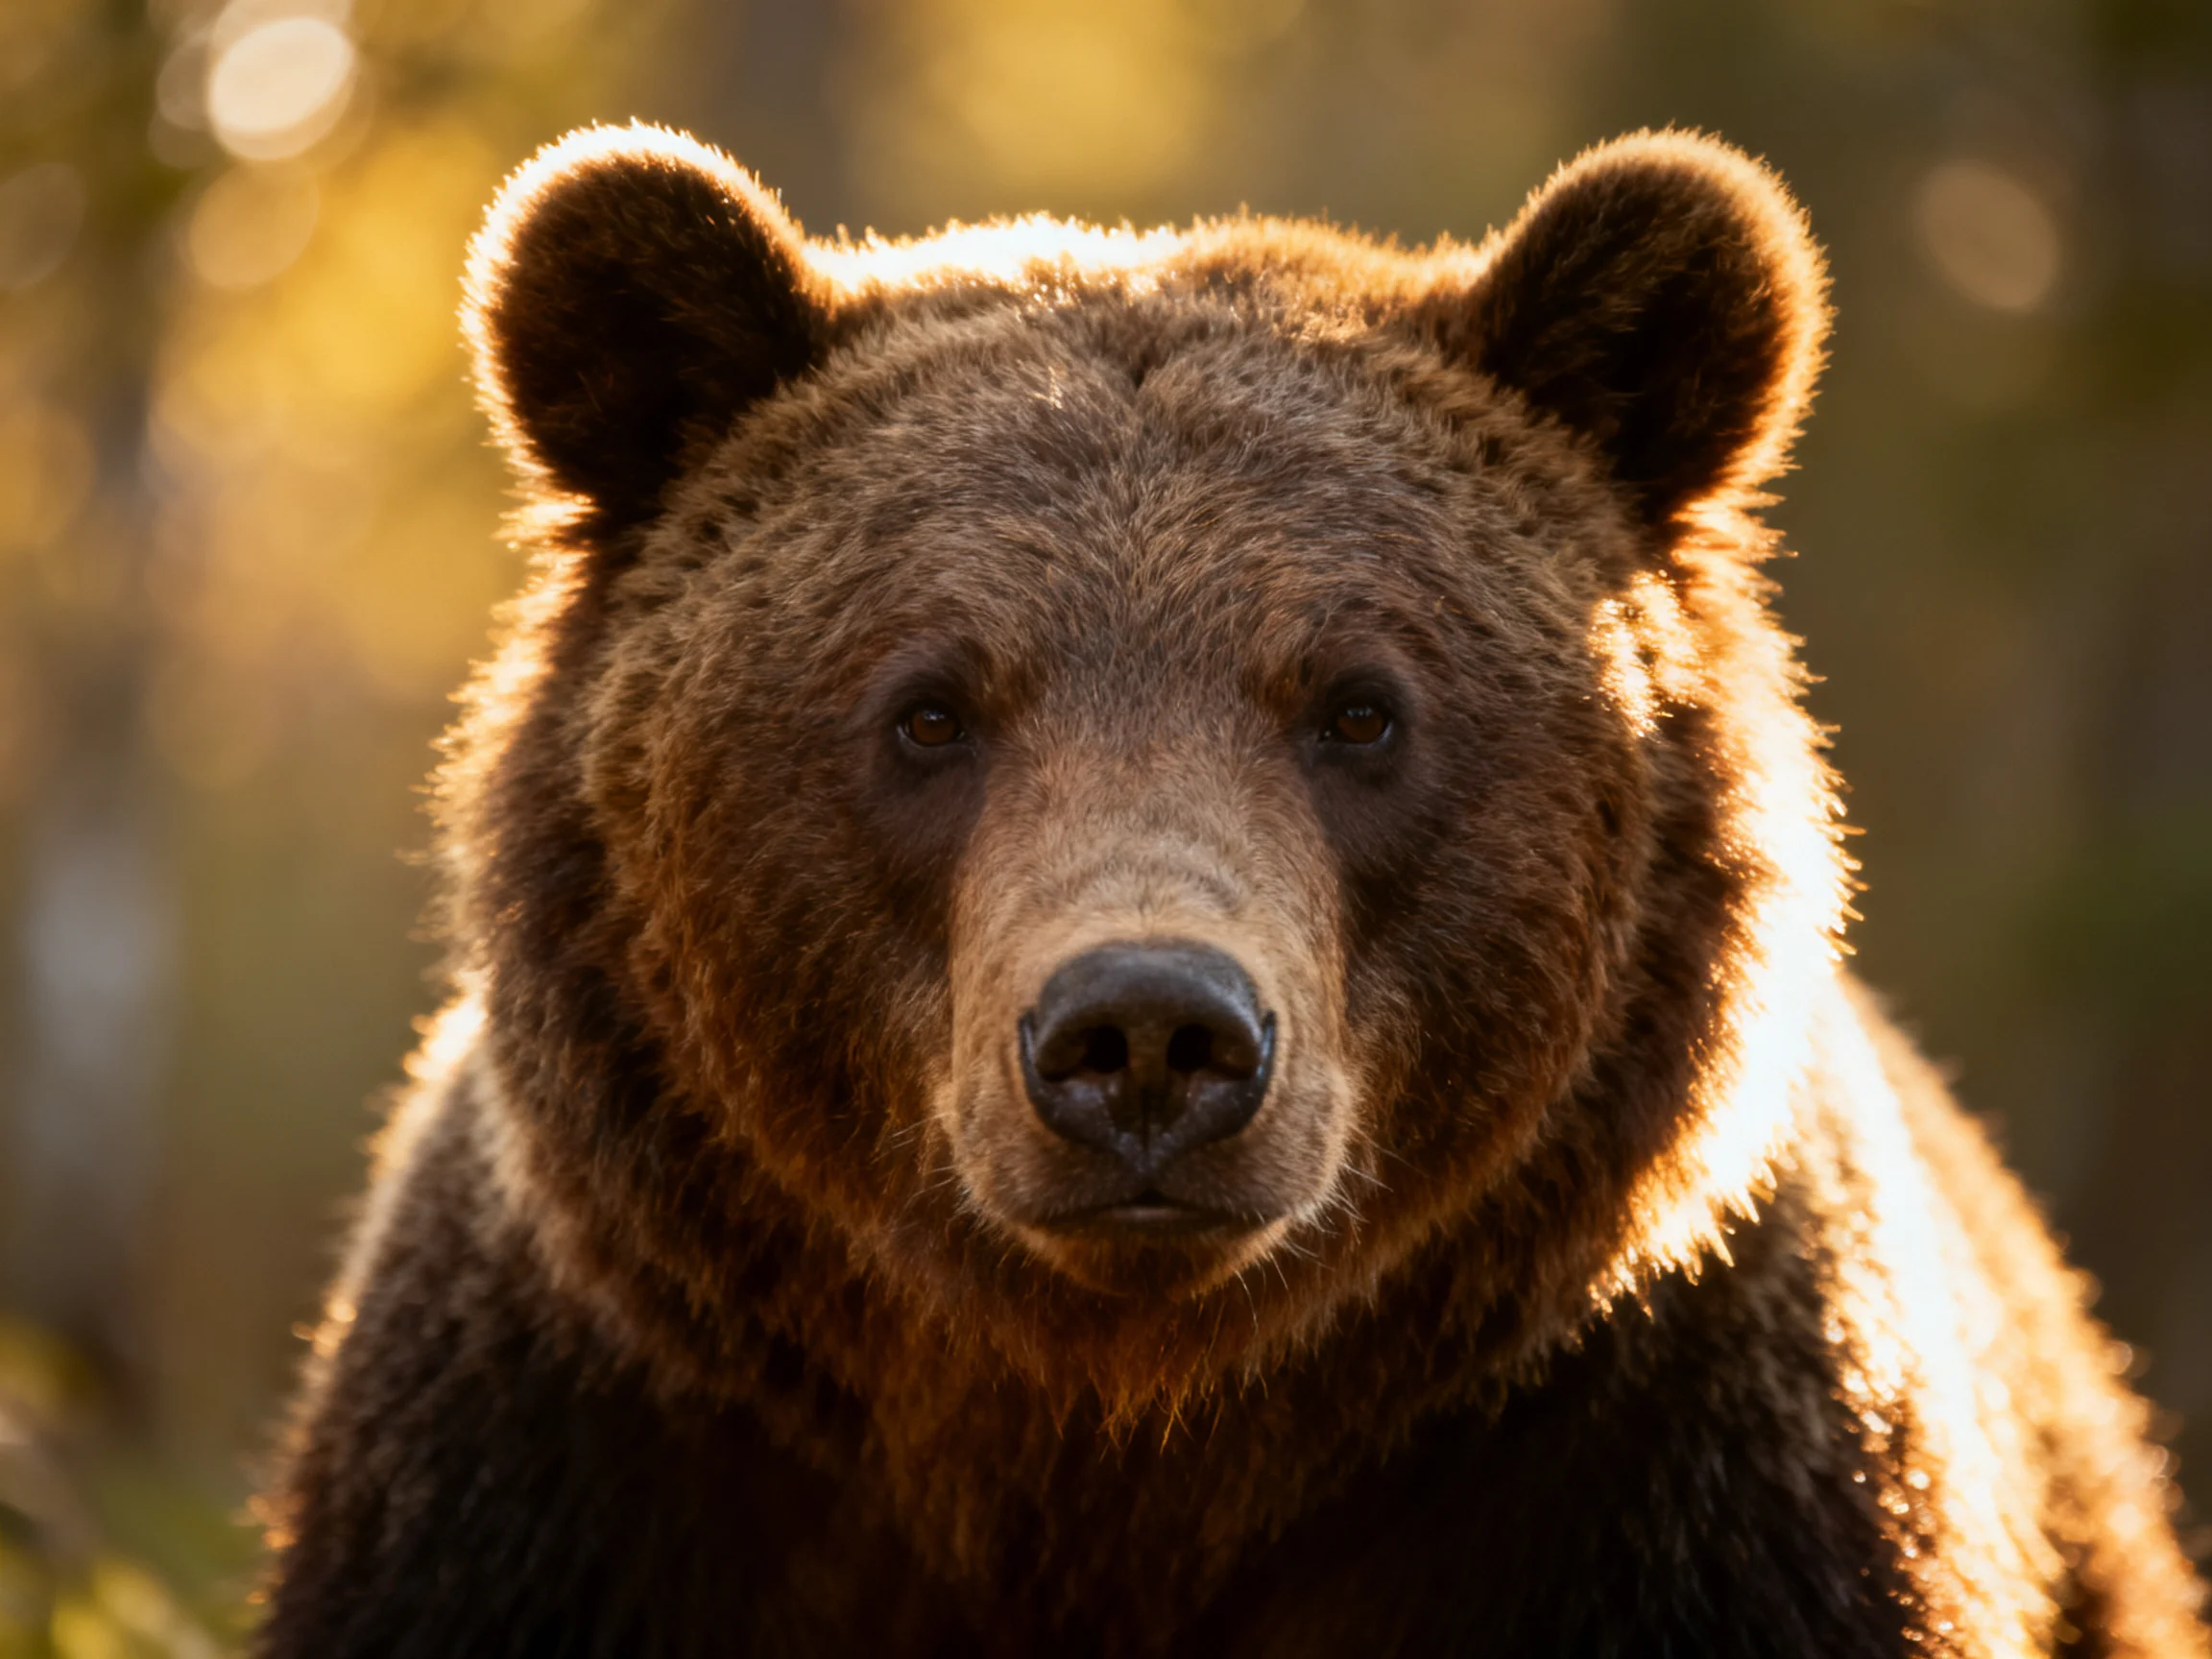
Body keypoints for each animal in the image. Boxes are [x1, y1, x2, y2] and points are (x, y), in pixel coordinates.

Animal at [255, 122, 2208, 1657]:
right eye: (928, 707)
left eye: (1358, 705)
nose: (1145, 1033)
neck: (1122, 1450)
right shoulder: (577, 1476)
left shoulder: (1664, 1480)